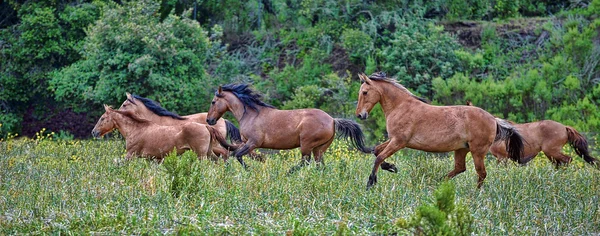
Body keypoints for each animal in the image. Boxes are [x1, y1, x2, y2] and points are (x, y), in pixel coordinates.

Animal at [91, 105, 237, 162]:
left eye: (102, 118)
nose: (94, 132)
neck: (136, 129)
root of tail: (206, 126)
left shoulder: (130, 155)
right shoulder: (153, 159)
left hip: (201, 155)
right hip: (209, 152)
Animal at [205, 84, 394, 172]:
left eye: (213, 102)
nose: (209, 120)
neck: (251, 114)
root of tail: (332, 120)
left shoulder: (253, 142)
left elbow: (238, 155)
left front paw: (250, 170)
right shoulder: (248, 144)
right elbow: (241, 154)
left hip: (307, 144)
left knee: (305, 161)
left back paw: (288, 173)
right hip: (320, 148)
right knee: (320, 165)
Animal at [356, 72, 524, 188]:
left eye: (365, 92)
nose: (360, 115)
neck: (400, 106)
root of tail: (493, 119)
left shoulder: (399, 142)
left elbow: (379, 157)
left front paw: (371, 183)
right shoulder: (394, 140)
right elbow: (376, 151)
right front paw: (391, 167)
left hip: (477, 151)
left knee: (481, 173)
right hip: (462, 149)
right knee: (460, 168)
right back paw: (438, 183)